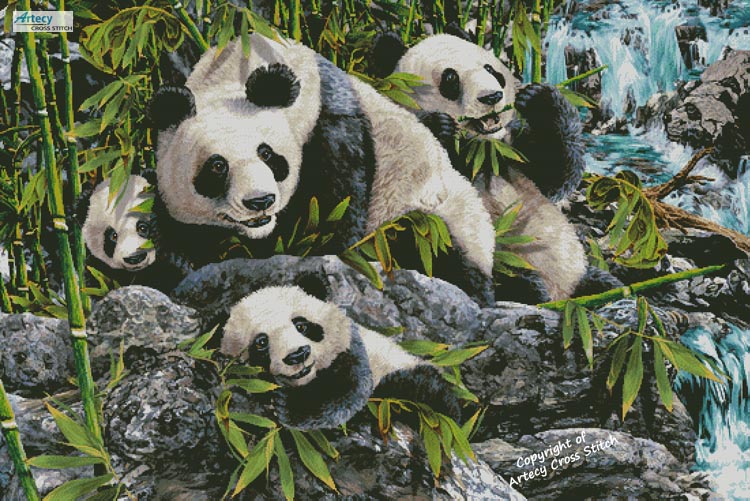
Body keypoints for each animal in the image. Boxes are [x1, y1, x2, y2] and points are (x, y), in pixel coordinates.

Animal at [149, 33, 496, 305]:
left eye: (268, 154)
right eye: (217, 166)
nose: (260, 202)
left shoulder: (329, 124)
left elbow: (334, 215)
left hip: (437, 219)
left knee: (426, 243)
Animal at [219, 277, 461, 430]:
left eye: (302, 325)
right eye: (261, 342)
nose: (297, 355)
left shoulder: (351, 348)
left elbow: (346, 392)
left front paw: (288, 406)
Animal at [371, 33, 621, 302]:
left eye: (491, 69)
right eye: (450, 78)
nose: (491, 97)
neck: (477, 150)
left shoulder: (508, 155)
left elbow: (554, 172)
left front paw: (537, 98)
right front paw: (440, 126)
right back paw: (528, 287)